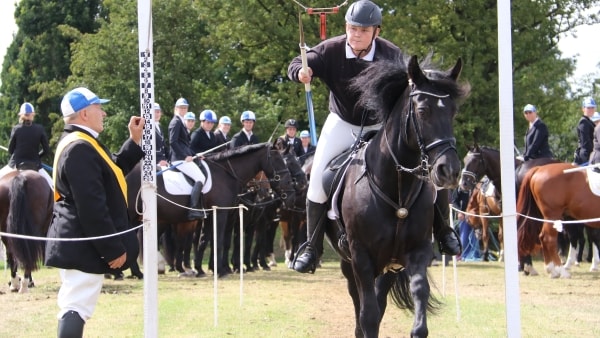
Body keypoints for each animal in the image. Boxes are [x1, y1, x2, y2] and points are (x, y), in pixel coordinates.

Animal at [127, 140, 296, 278]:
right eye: (278, 161)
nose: (290, 193)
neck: (225, 174)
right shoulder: (221, 213)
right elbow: (219, 240)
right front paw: (220, 271)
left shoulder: (211, 215)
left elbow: (204, 241)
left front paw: (201, 269)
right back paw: (140, 272)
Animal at [316, 56, 472, 338]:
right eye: (422, 111)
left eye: (452, 112)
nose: (450, 171)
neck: (396, 188)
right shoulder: (361, 257)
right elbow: (368, 315)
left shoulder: (416, 252)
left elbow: (418, 294)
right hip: (350, 261)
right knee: (359, 301)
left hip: (389, 266)